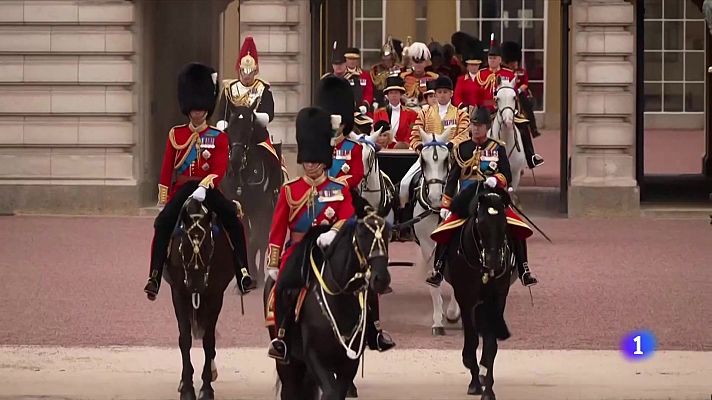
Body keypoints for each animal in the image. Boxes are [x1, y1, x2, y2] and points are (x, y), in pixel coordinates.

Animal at [165, 198, 246, 400]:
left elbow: (209, 340)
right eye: (183, 246)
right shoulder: (179, 293)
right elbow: (185, 339)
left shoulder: (215, 294)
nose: (196, 286)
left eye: (209, 246)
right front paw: (187, 388)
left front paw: (206, 388)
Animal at [222, 103, 284, 284]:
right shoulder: (240, 208)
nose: (235, 162)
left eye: (249, 128)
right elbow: (247, 238)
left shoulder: (262, 208)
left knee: (263, 238)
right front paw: (248, 274)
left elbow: (258, 239)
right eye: (230, 128)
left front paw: (258, 275)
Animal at [266, 195, 392, 400]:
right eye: (362, 234)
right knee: (289, 390)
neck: (340, 298)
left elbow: (337, 391)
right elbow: (330, 392)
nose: (381, 278)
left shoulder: (349, 363)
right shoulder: (314, 357)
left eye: (388, 232)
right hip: (288, 362)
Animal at [444, 184, 512, 396]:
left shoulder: (497, 299)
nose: (494, 262)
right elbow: (473, 340)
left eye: (504, 224)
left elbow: (490, 344)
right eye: (480, 223)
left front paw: (488, 389)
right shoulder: (466, 299)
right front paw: (474, 381)